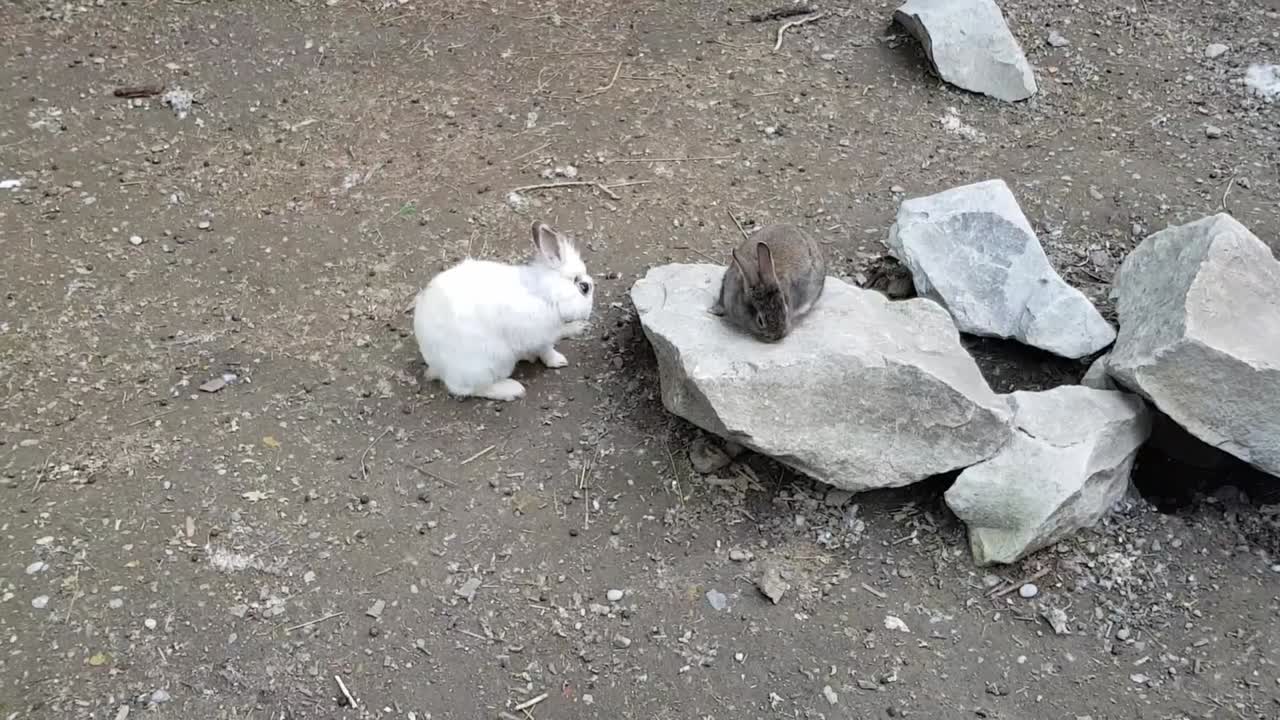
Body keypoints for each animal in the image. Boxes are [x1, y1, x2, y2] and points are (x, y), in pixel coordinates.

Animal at [413, 221, 594, 401]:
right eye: (584, 287)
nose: (588, 311)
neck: (548, 294)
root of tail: (436, 366)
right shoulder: (538, 336)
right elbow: (547, 349)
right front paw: (558, 360)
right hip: (491, 364)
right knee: (466, 389)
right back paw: (512, 389)